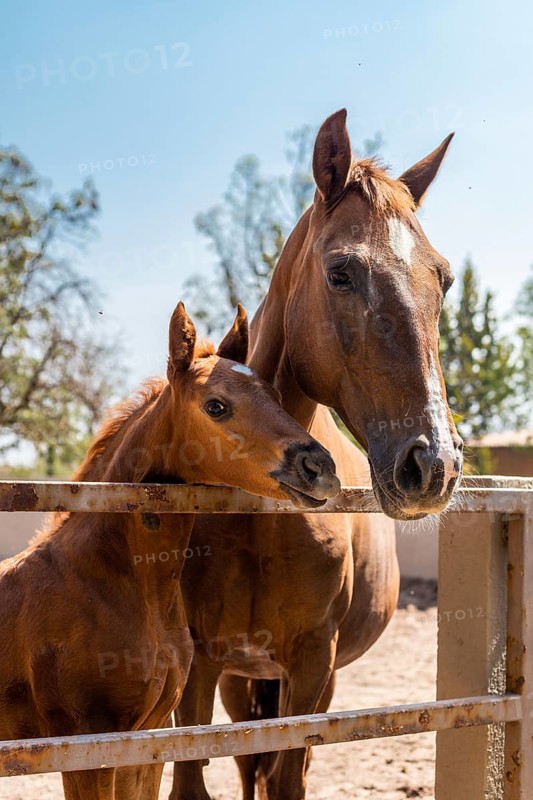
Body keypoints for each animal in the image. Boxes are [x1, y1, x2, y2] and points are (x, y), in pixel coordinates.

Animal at [168, 110, 464, 800]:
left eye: (442, 278)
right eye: (340, 273)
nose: (433, 466)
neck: (258, 517)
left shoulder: (311, 666)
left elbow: (287, 777)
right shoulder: (201, 666)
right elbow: (196, 777)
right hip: (240, 679)